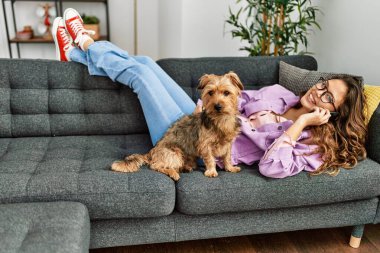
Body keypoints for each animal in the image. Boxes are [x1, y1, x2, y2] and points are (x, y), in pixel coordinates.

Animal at [111, 72, 245, 181]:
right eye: (210, 92)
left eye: (227, 93)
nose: (217, 106)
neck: (220, 120)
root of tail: (151, 151)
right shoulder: (205, 145)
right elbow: (210, 159)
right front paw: (212, 171)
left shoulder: (228, 144)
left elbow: (227, 157)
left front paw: (230, 168)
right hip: (174, 153)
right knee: (156, 165)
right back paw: (173, 173)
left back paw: (185, 168)